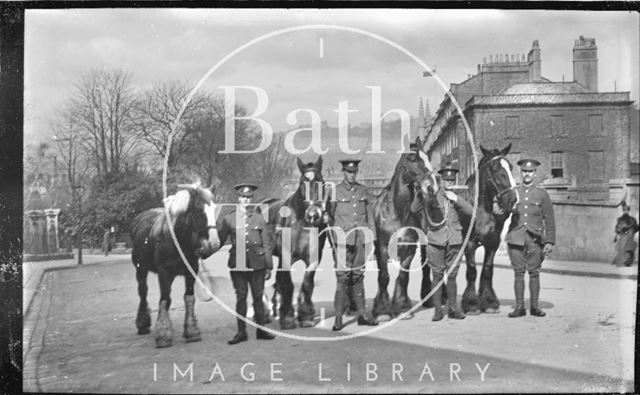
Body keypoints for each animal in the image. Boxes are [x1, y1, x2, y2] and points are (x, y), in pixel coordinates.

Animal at [129, 181, 220, 348]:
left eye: (214, 208)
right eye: (198, 210)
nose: (213, 243)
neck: (177, 238)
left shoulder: (192, 271)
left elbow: (189, 298)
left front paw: (191, 331)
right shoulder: (164, 273)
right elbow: (165, 299)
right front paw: (163, 334)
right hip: (141, 269)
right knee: (143, 291)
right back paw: (143, 323)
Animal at [264, 156, 330, 330]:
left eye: (321, 181)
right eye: (301, 184)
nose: (313, 214)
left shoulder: (314, 258)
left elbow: (307, 283)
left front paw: (305, 316)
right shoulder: (286, 257)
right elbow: (288, 284)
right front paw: (287, 318)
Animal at [370, 139, 440, 322]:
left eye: (428, 157)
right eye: (412, 158)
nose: (431, 187)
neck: (397, 211)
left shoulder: (409, 248)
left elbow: (403, 276)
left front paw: (401, 307)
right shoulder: (382, 248)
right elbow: (384, 276)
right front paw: (383, 311)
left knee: (425, 269)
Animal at [458, 144, 516, 314]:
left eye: (510, 167)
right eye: (494, 168)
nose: (512, 199)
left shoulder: (493, 243)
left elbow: (487, 270)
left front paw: (489, 302)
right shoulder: (469, 244)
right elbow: (472, 271)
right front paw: (471, 304)